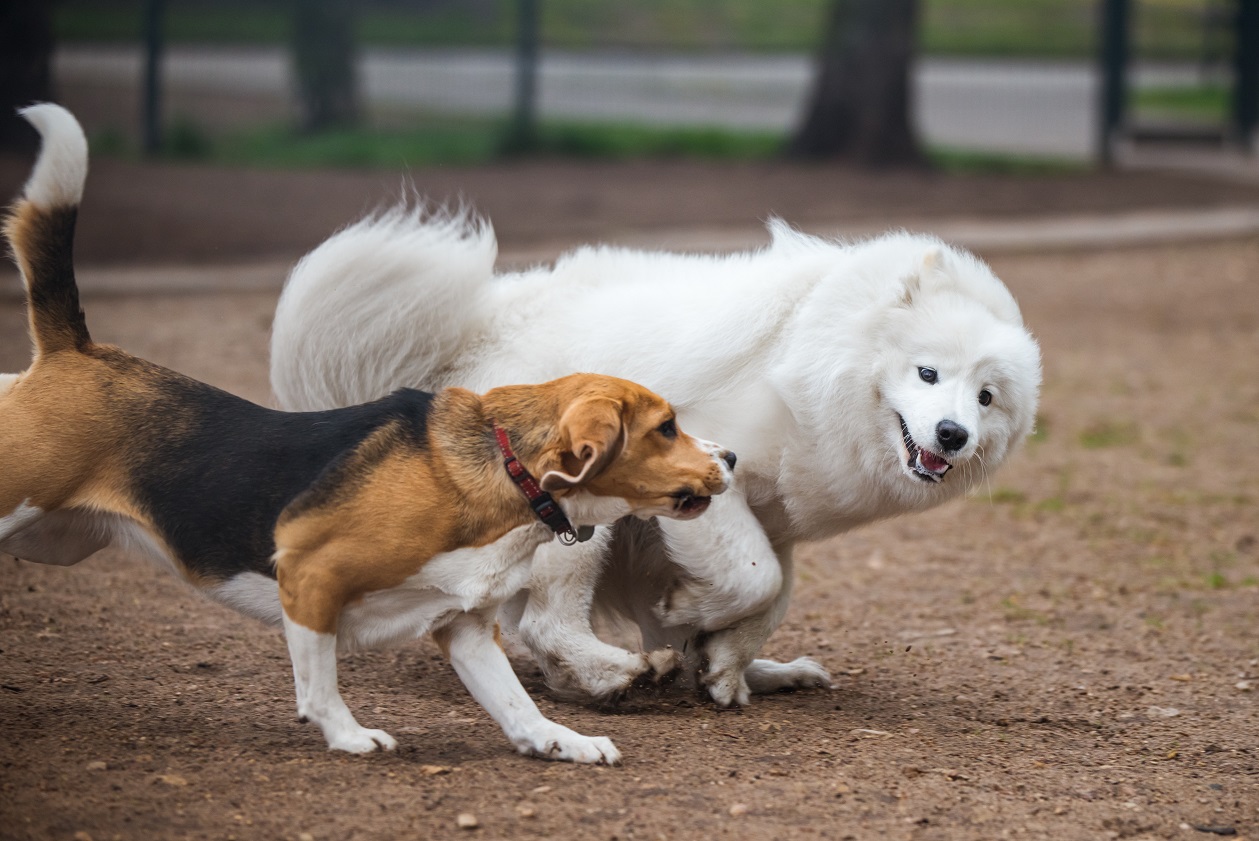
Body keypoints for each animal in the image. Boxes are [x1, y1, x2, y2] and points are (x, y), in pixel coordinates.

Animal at [0, 105, 735, 760]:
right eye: (667, 427)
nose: (729, 454)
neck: (504, 471)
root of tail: (77, 349)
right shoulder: (309, 577)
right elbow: (318, 682)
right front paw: (350, 736)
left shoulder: (466, 627)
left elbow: (516, 705)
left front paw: (563, 741)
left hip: (52, 540)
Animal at [268, 206, 1042, 705]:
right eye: (927, 374)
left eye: (985, 397)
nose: (952, 435)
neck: (817, 355)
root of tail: (479, 331)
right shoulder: (716, 478)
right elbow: (754, 579)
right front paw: (700, 627)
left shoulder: (777, 520)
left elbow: (769, 596)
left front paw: (727, 664)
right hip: (581, 519)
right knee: (545, 622)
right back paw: (617, 676)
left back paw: (744, 671)